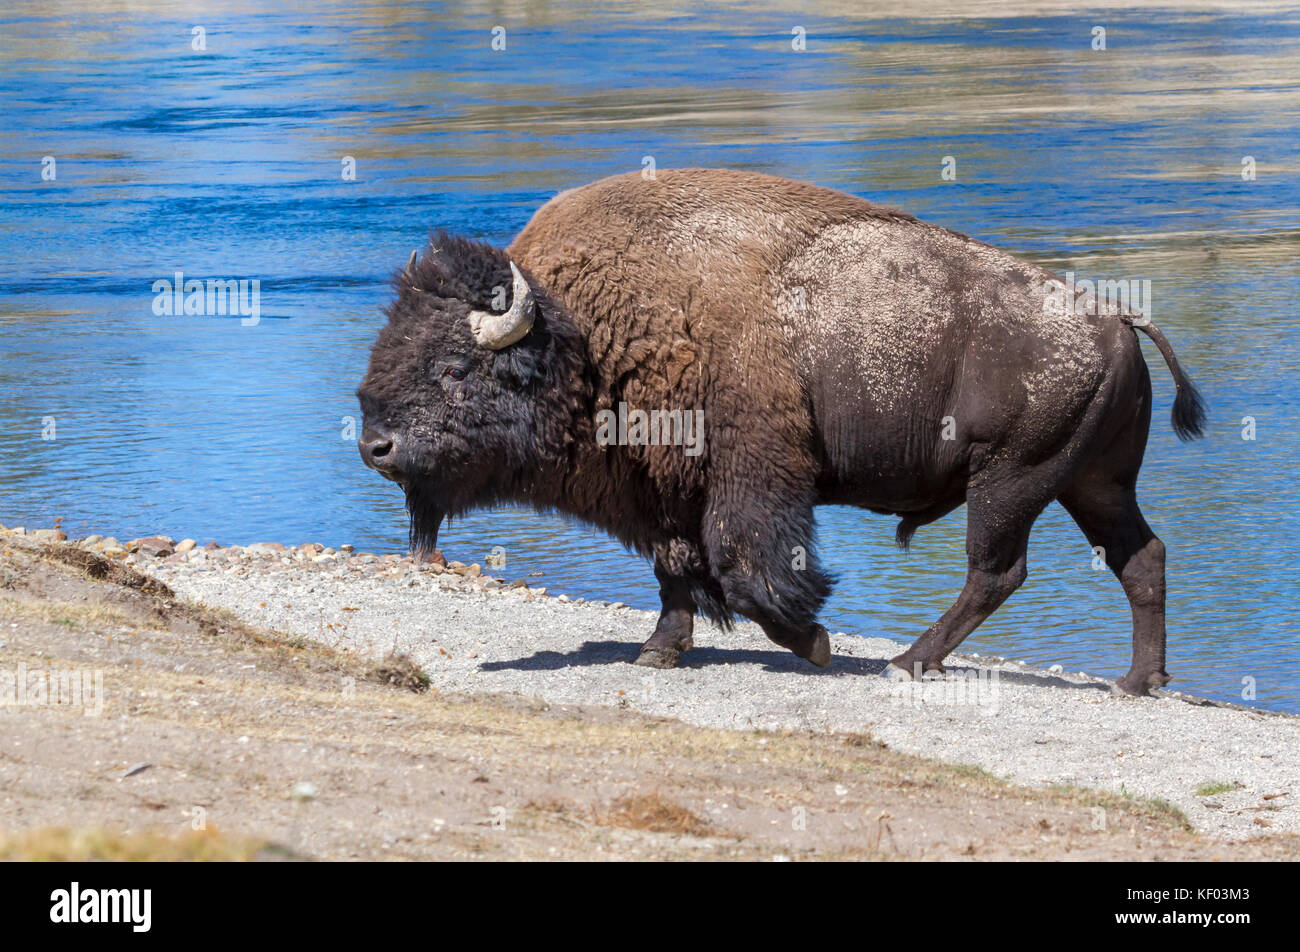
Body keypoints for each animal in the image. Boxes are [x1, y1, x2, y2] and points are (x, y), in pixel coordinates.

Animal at [358, 167, 1206, 697]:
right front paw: (658, 651)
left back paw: (907, 662)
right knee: (1140, 559)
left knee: (997, 572)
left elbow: (742, 567)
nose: (374, 447)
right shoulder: (661, 487)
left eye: (454, 368)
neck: (585, 331)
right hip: (1090, 483)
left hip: (1011, 482)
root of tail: (1116, 318)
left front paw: (812, 641)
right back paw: (1138, 682)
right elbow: (676, 569)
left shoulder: (751, 478)